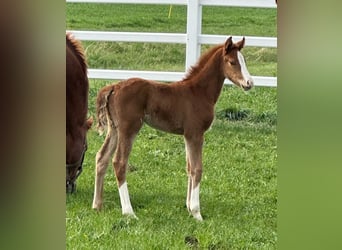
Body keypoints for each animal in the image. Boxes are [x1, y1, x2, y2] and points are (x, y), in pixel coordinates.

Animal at [92, 36, 252, 220]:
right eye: (232, 62)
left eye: (244, 61)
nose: (249, 83)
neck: (199, 92)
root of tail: (113, 87)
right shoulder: (196, 133)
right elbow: (197, 169)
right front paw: (197, 213)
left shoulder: (187, 135)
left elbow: (189, 167)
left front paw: (189, 208)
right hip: (129, 129)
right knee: (119, 162)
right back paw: (129, 212)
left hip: (114, 129)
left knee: (101, 157)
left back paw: (97, 205)